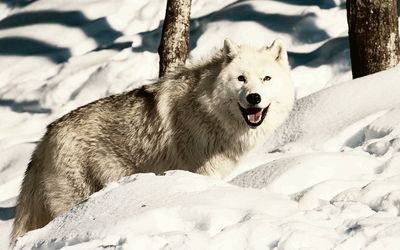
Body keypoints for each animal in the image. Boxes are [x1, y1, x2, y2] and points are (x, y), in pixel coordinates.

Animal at [10, 38, 296, 246]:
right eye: (241, 79)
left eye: (266, 78)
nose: (254, 98)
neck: (207, 109)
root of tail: (45, 137)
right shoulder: (202, 173)